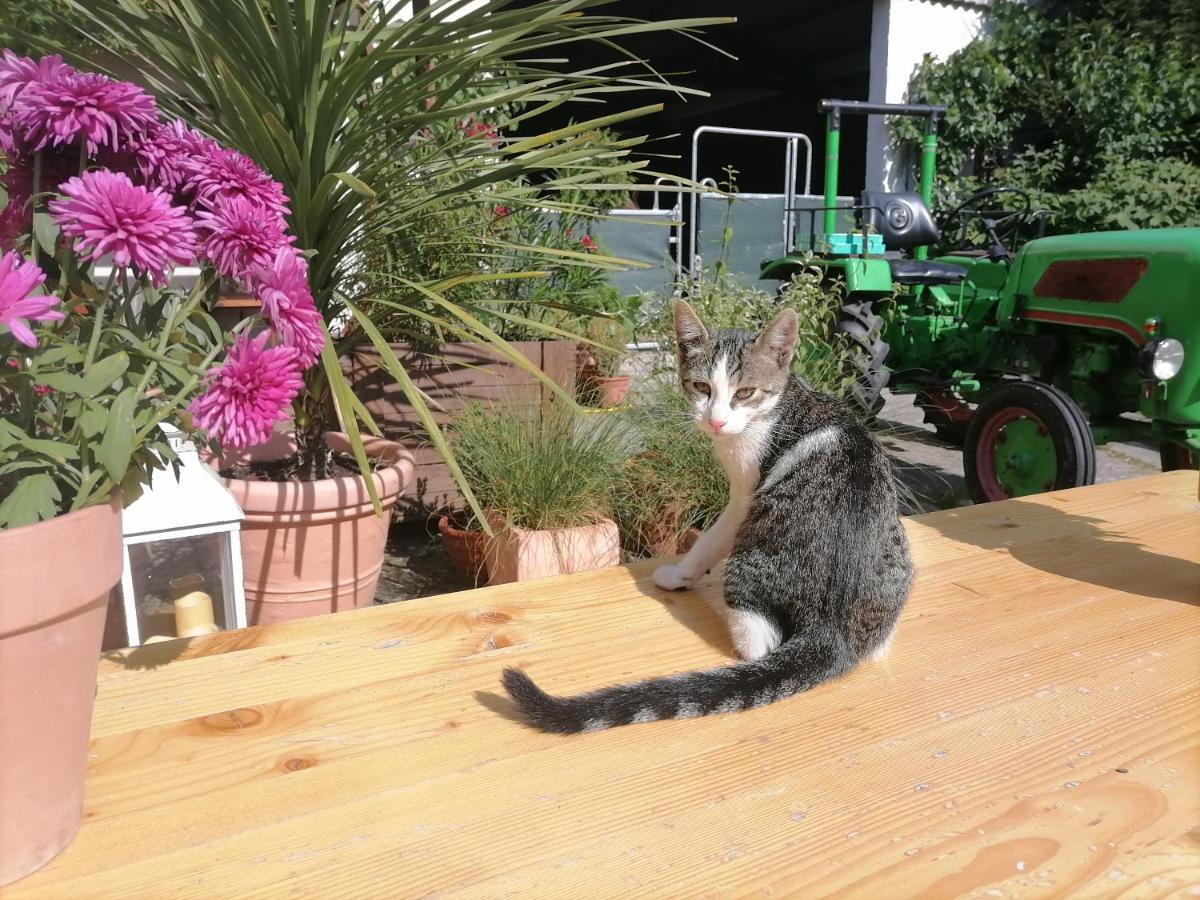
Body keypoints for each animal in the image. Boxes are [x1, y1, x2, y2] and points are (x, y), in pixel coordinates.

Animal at [501, 300, 912, 734]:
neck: (778, 404)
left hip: (750, 563)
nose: (715, 421)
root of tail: (833, 632)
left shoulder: (745, 495)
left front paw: (680, 574)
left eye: (744, 392)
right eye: (701, 388)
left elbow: (710, 539)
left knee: (758, 645)